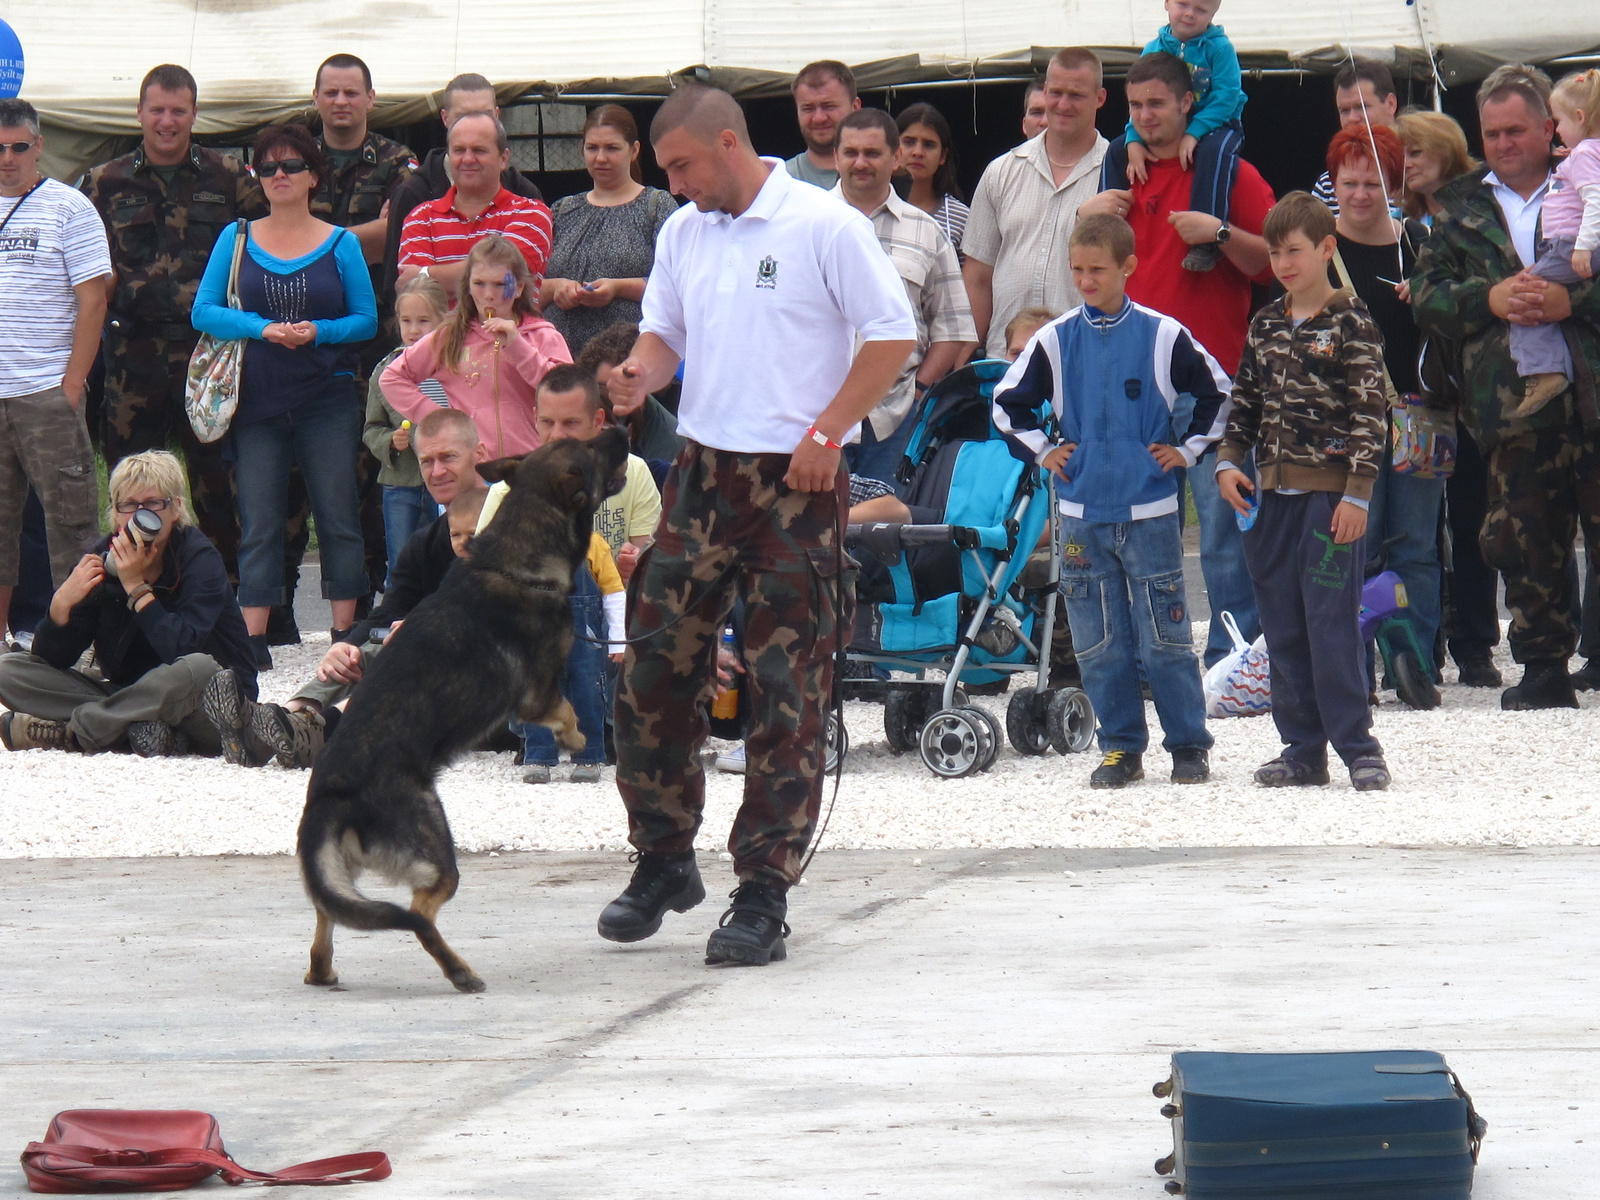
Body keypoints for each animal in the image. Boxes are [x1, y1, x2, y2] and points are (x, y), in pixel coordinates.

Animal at [299, 428, 630, 992]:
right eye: (590, 448)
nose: (621, 431)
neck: (515, 560)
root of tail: (329, 795)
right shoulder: (536, 695)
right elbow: (565, 710)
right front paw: (576, 740)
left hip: (347, 872)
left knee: (329, 915)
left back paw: (322, 970)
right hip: (436, 852)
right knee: (418, 916)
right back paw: (459, 971)